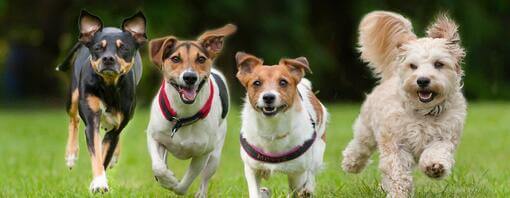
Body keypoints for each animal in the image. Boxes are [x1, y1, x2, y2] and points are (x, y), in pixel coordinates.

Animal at [57, 10, 146, 193]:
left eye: (123, 48)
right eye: (98, 48)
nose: (108, 59)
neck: (108, 87)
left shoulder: (115, 128)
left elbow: (105, 155)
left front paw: (98, 182)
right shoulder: (92, 122)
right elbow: (97, 154)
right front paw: (99, 183)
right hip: (73, 96)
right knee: (74, 119)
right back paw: (71, 155)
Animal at [146, 24, 236, 197]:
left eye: (201, 59)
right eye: (176, 58)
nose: (190, 77)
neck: (183, 116)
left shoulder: (202, 153)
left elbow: (184, 184)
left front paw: (174, 184)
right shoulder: (154, 137)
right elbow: (158, 167)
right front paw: (167, 178)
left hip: (215, 155)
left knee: (205, 177)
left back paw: (201, 193)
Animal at [236, 51, 328, 197]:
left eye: (283, 82)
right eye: (257, 83)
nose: (268, 97)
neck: (272, 127)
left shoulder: (297, 173)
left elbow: (298, 188)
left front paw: (306, 189)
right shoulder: (252, 168)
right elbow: (255, 192)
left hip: (318, 149)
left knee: (311, 172)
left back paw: (308, 188)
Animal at [342, 11, 466, 198]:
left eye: (439, 64)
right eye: (413, 66)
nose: (422, 80)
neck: (423, 113)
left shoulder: (445, 137)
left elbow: (437, 151)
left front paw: (435, 167)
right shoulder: (395, 143)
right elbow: (397, 171)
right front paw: (398, 193)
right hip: (367, 127)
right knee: (360, 145)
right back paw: (352, 163)